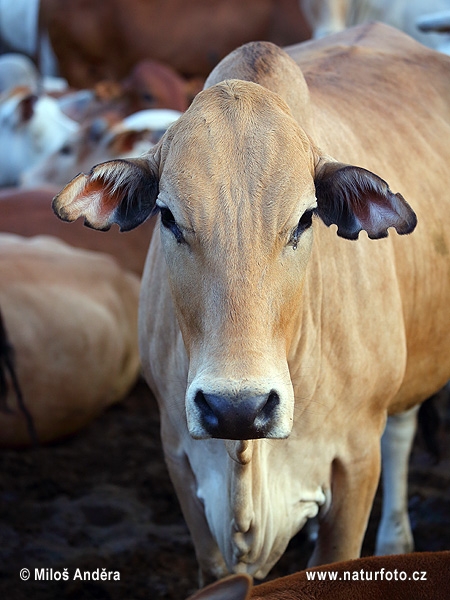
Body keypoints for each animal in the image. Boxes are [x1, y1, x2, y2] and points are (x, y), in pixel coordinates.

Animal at [52, 24, 450, 580]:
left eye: (305, 219)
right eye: (167, 216)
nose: (236, 408)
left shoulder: (357, 461)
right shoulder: (181, 462)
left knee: (402, 431)